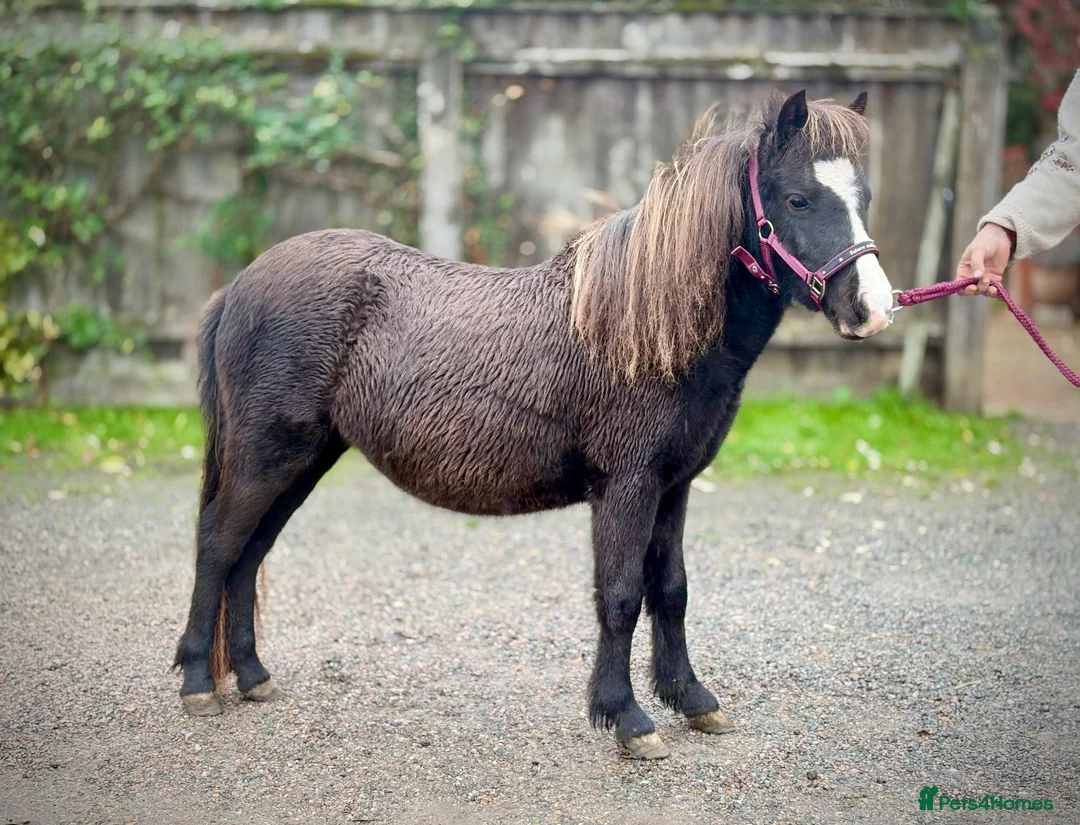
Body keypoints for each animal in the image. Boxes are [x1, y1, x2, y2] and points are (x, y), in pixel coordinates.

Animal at [174, 89, 895, 759]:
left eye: (863, 197)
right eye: (798, 199)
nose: (873, 307)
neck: (643, 327)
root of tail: (240, 285)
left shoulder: (674, 487)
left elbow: (672, 590)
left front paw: (692, 698)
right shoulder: (627, 487)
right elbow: (621, 595)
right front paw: (626, 717)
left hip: (303, 460)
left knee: (249, 553)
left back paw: (253, 675)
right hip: (268, 457)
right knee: (218, 545)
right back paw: (198, 684)